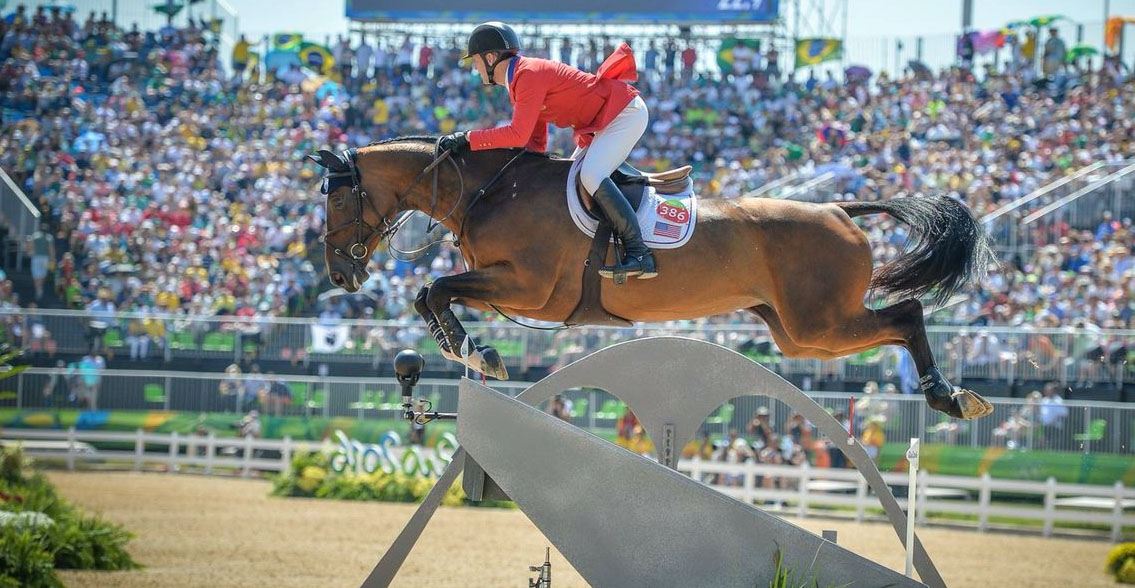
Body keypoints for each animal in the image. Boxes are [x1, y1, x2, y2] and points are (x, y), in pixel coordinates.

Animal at [308, 139, 994, 422]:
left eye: (337, 199)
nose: (341, 273)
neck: (488, 189)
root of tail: (838, 208)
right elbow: (430, 293)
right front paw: (470, 350)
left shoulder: (530, 287)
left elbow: (437, 289)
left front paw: (479, 352)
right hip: (799, 334)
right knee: (891, 321)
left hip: (820, 321)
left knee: (906, 316)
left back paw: (948, 397)